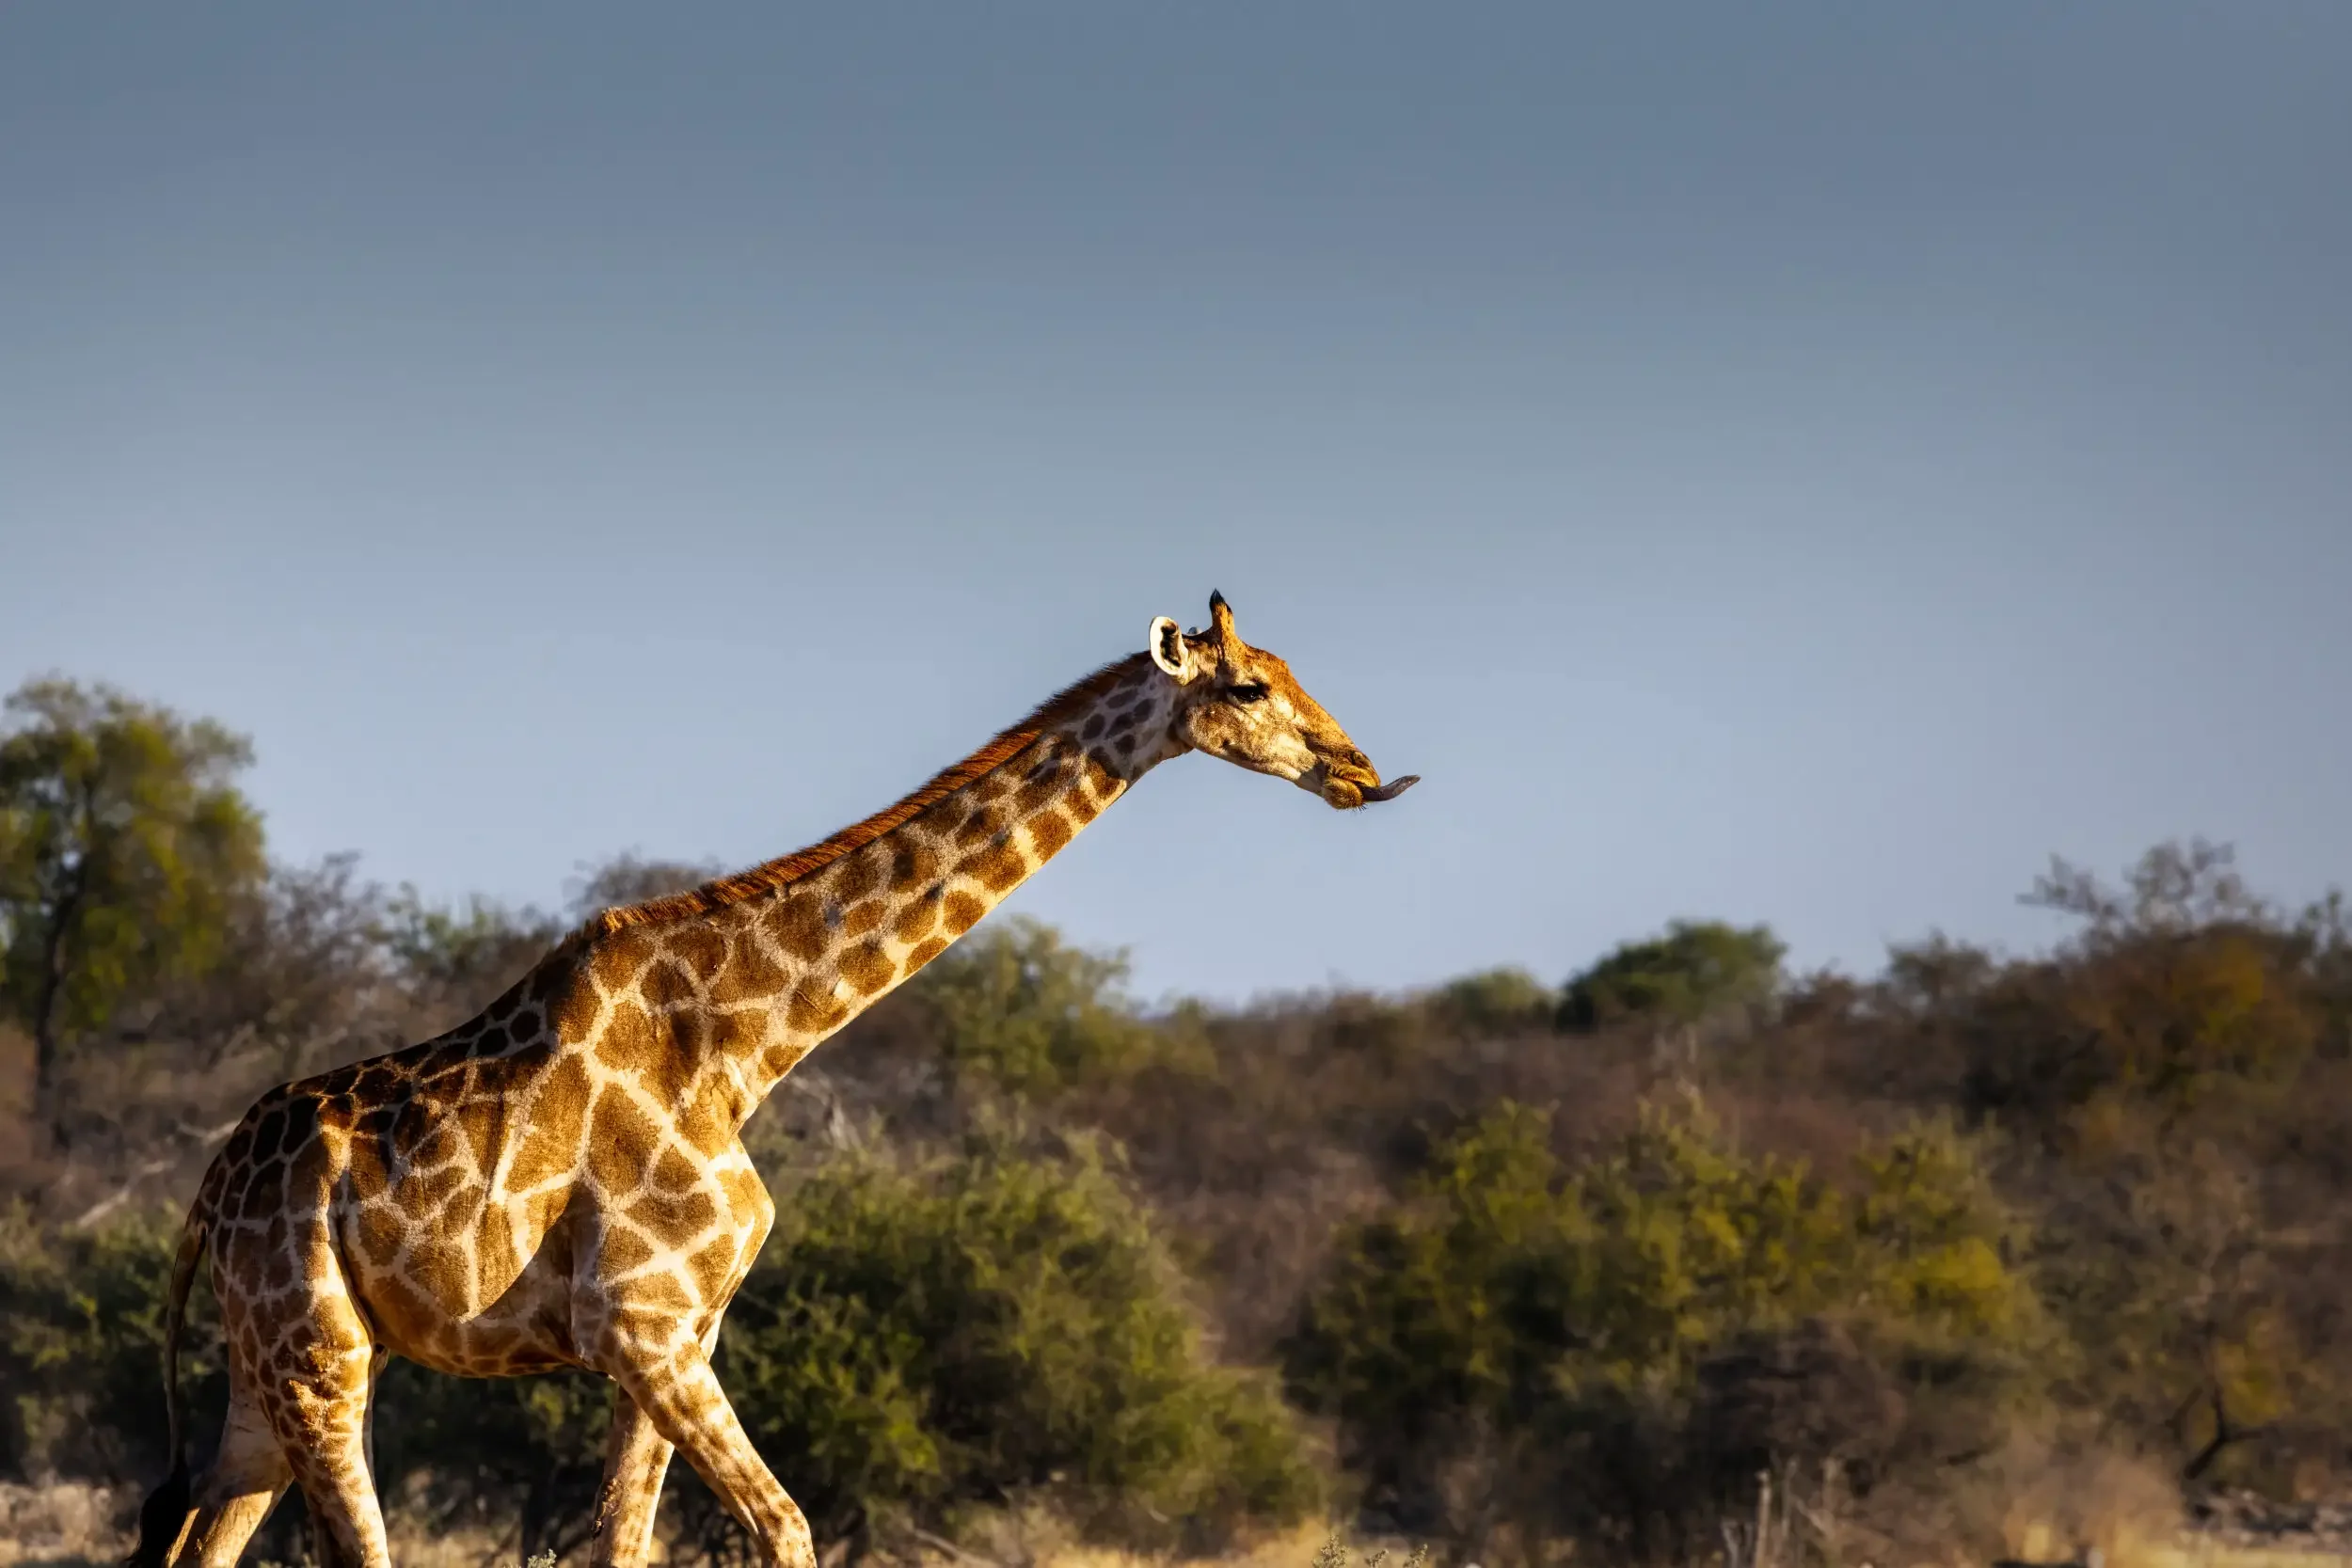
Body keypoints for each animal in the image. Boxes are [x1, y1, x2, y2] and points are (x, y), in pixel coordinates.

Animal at [128, 592, 1417, 1568]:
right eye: (1246, 687)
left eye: (1287, 670)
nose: (1362, 770)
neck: (742, 1046)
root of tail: (204, 1199)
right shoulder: (644, 1324)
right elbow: (786, 1528)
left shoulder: (670, 1333)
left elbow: (623, 1543)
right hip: (321, 1355)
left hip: (267, 1377)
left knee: (201, 1542)